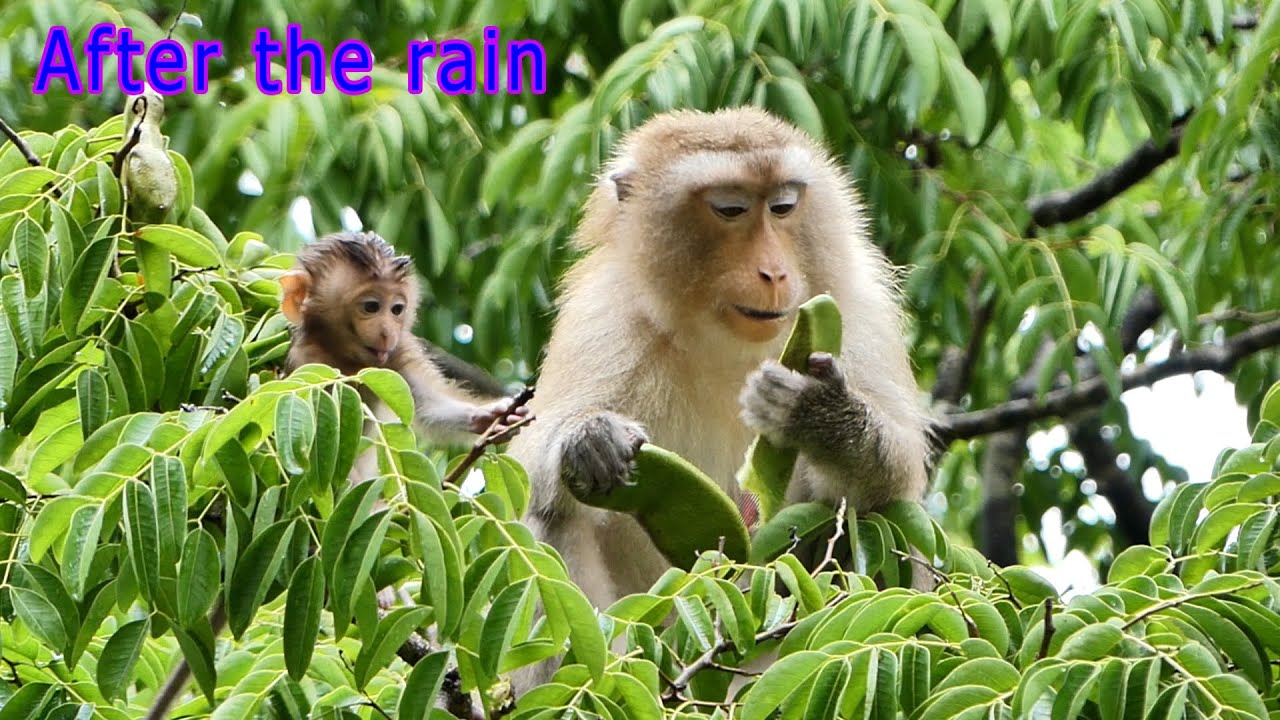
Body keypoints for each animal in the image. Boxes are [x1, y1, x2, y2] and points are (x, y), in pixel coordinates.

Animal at [507, 107, 932, 687]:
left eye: (782, 207)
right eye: (730, 209)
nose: (774, 272)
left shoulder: (855, 305)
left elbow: (898, 475)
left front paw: (818, 414)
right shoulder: (604, 317)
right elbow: (530, 468)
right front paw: (590, 441)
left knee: (880, 517)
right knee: (557, 511)